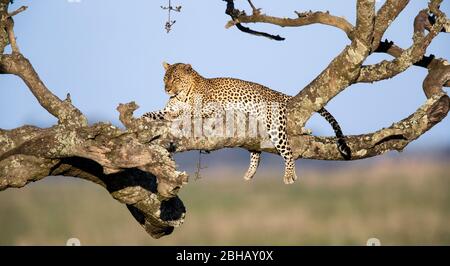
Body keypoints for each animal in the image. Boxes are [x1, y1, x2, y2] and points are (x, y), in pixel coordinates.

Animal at [144, 62, 352, 184]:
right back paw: (250, 173)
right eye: (165, 78)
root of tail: (280, 95)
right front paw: (145, 118)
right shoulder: (167, 109)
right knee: (256, 153)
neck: (182, 94)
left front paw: (182, 114)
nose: (166, 88)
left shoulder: (214, 108)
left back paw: (288, 175)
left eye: (176, 78)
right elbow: (155, 114)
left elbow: (191, 111)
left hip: (275, 127)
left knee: (288, 152)